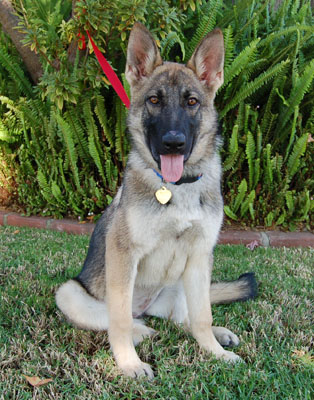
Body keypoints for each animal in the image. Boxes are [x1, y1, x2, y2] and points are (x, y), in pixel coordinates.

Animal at [56, 23, 258, 380]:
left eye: (191, 101)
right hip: (69, 292)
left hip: (185, 280)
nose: (173, 143)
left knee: (185, 319)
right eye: (154, 100)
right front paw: (129, 363)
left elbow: (202, 316)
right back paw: (142, 330)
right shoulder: (123, 255)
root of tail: (146, 307)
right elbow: (119, 321)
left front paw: (214, 352)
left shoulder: (200, 255)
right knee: (119, 318)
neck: (176, 188)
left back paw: (217, 334)